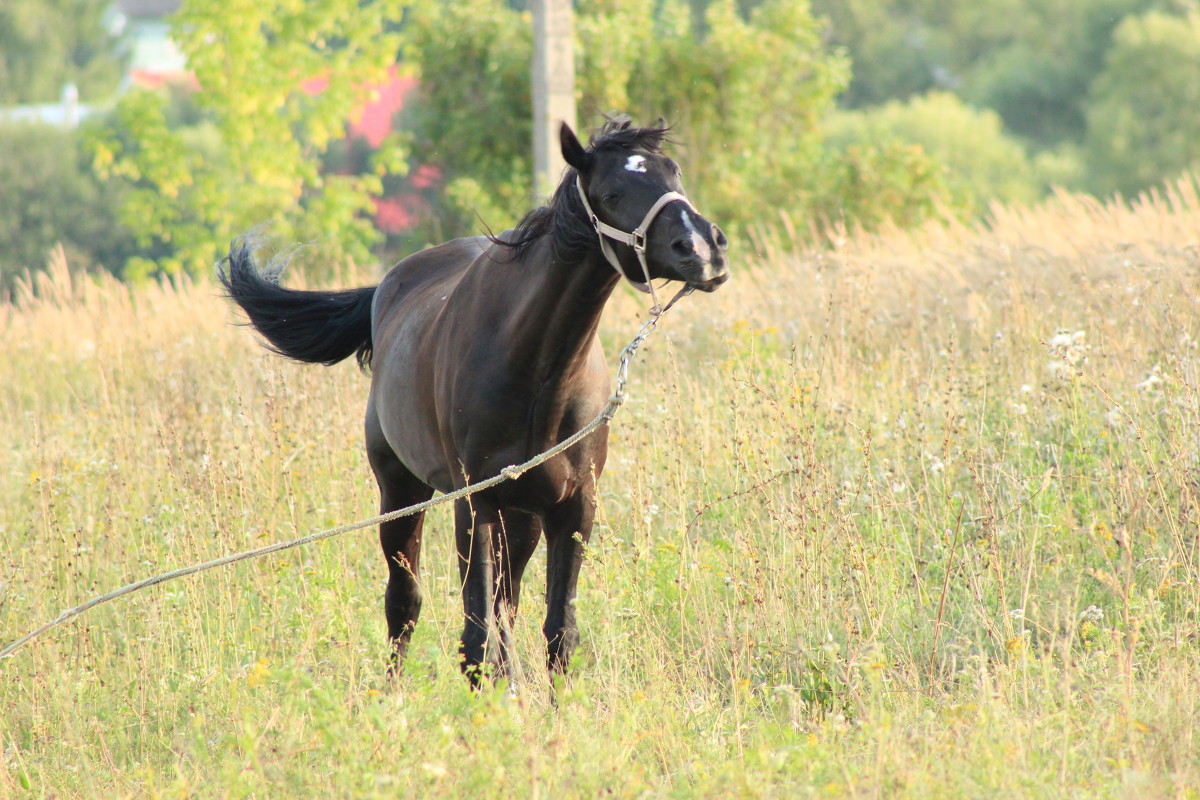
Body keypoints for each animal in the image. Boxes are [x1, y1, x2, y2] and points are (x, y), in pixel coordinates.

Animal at [222, 115, 729, 686]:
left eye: (674, 171)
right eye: (612, 192)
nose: (703, 248)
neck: (537, 373)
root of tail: (386, 290)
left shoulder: (574, 508)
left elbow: (558, 632)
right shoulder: (476, 503)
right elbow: (475, 636)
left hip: (522, 518)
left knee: (505, 606)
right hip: (401, 493)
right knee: (406, 603)